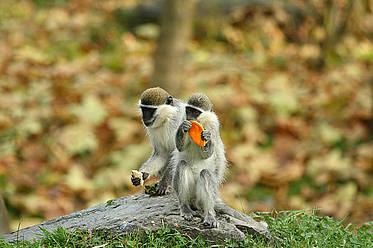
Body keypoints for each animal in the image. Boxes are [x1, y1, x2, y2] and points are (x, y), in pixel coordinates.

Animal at [172, 93, 227, 229]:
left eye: (196, 112)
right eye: (188, 110)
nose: (190, 118)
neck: (201, 122)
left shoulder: (213, 124)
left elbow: (207, 154)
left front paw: (207, 138)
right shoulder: (182, 117)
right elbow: (180, 148)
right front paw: (183, 128)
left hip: (201, 198)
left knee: (206, 173)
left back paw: (210, 215)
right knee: (182, 165)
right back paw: (185, 207)